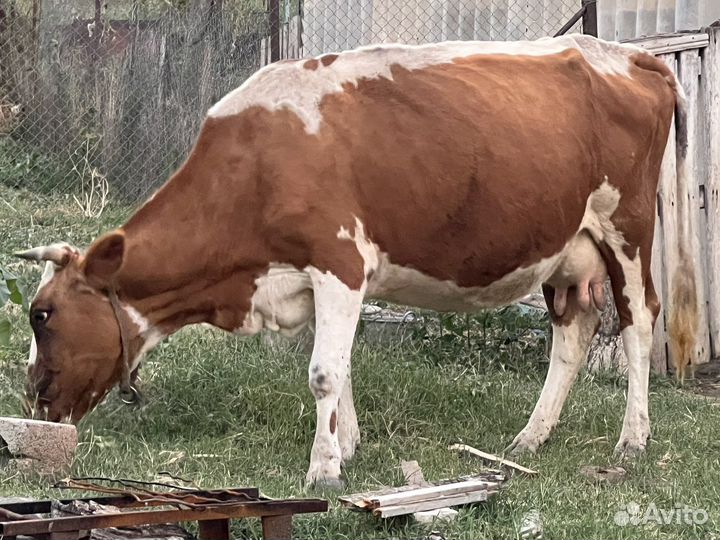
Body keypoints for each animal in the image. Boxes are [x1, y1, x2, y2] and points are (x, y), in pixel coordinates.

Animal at [15, 34, 697, 489]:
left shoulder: (339, 259)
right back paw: (531, 436)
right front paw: (345, 448)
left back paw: (632, 439)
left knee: (639, 321)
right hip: (566, 247)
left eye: (42, 314)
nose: (34, 397)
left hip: (627, 226)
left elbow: (322, 372)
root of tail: (627, 54)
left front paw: (323, 471)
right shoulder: (318, 278)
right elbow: (340, 370)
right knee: (573, 332)